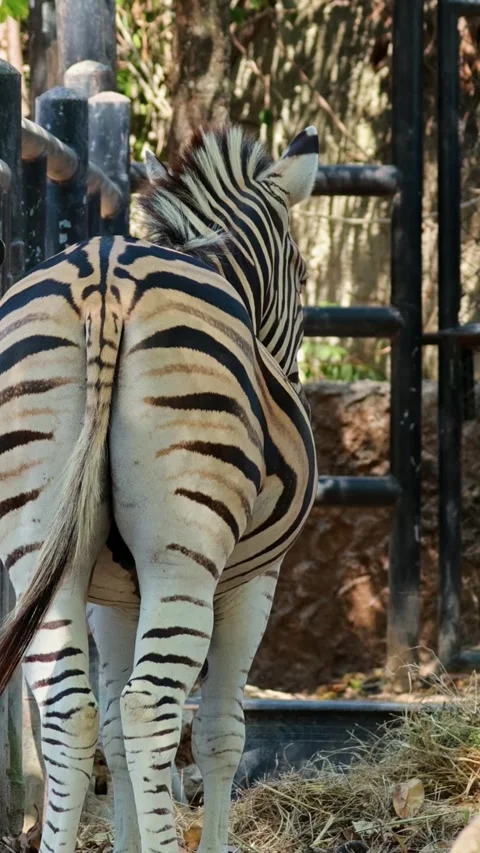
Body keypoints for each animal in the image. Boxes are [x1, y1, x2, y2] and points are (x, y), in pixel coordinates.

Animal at [0, 124, 318, 853]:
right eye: (302, 274)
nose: (291, 376)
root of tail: (104, 273)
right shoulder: (252, 582)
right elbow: (219, 731)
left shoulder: (111, 598)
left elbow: (113, 735)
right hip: (185, 555)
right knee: (151, 708)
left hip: (35, 550)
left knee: (69, 711)